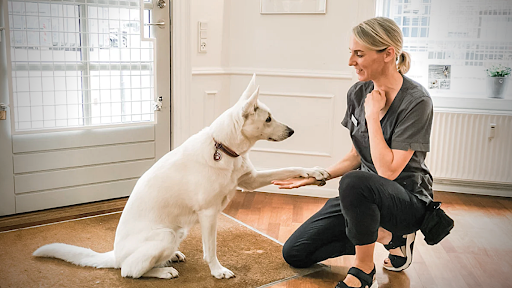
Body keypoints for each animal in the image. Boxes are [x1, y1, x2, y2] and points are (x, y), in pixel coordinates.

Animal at [33, 73, 328, 280]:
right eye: (267, 119)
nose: (291, 131)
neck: (223, 147)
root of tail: (115, 254)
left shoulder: (251, 180)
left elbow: (287, 168)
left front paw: (314, 171)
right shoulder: (209, 213)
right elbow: (211, 249)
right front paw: (218, 271)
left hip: (177, 232)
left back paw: (170, 258)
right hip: (164, 235)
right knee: (129, 271)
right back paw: (162, 271)